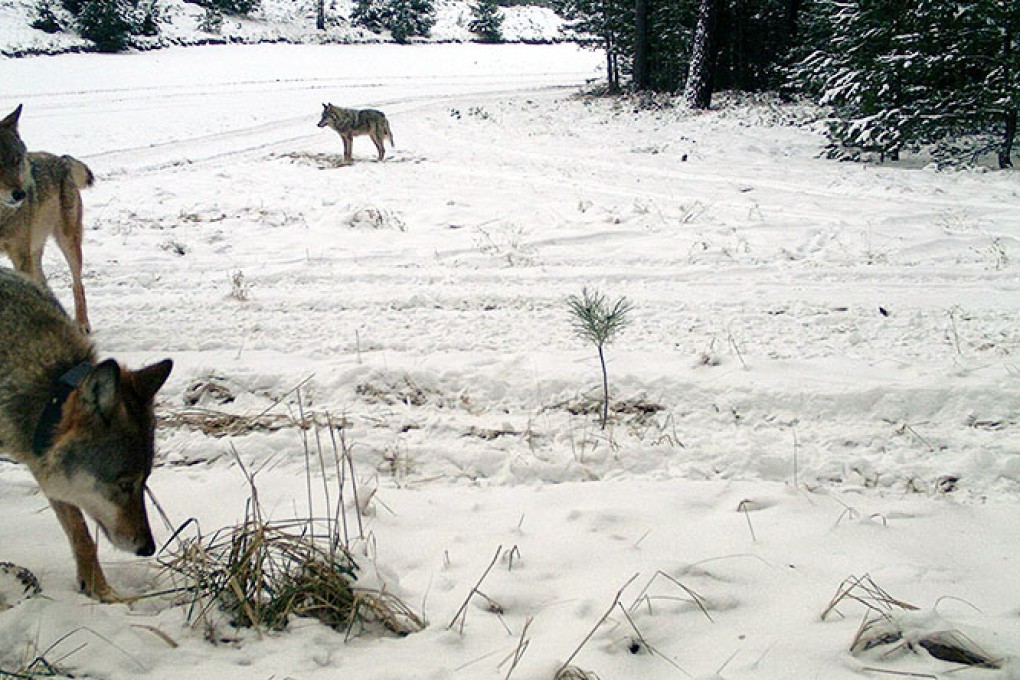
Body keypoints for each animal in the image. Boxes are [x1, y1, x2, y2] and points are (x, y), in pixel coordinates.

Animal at [0, 105, 93, 334]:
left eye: (16, 161)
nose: (20, 194)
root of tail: (61, 159)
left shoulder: (20, 255)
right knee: (43, 283)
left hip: (67, 243)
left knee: (77, 283)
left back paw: (81, 324)